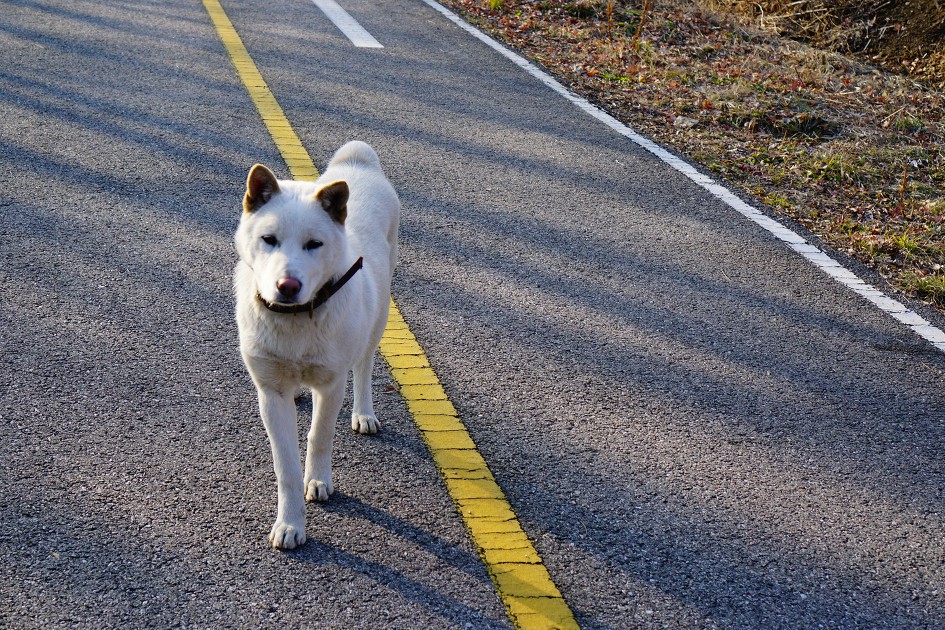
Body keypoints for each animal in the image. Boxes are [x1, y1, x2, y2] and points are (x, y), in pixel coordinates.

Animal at [236, 141, 402, 552]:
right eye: (269, 239)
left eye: (314, 244)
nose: (288, 286)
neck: (294, 319)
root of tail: (357, 163)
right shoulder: (270, 393)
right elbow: (285, 466)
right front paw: (290, 523)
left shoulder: (330, 385)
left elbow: (319, 436)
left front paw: (318, 480)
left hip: (378, 317)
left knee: (364, 367)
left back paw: (364, 413)